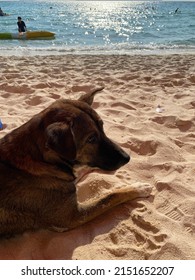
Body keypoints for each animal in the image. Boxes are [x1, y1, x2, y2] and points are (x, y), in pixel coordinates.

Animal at [0, 87, 152, 236]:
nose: (127, 158)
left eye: (102, 128)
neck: (41, 158)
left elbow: (81, 170)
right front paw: (139, 188)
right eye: (91, 139)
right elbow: (110, 196)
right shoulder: (71, 218)